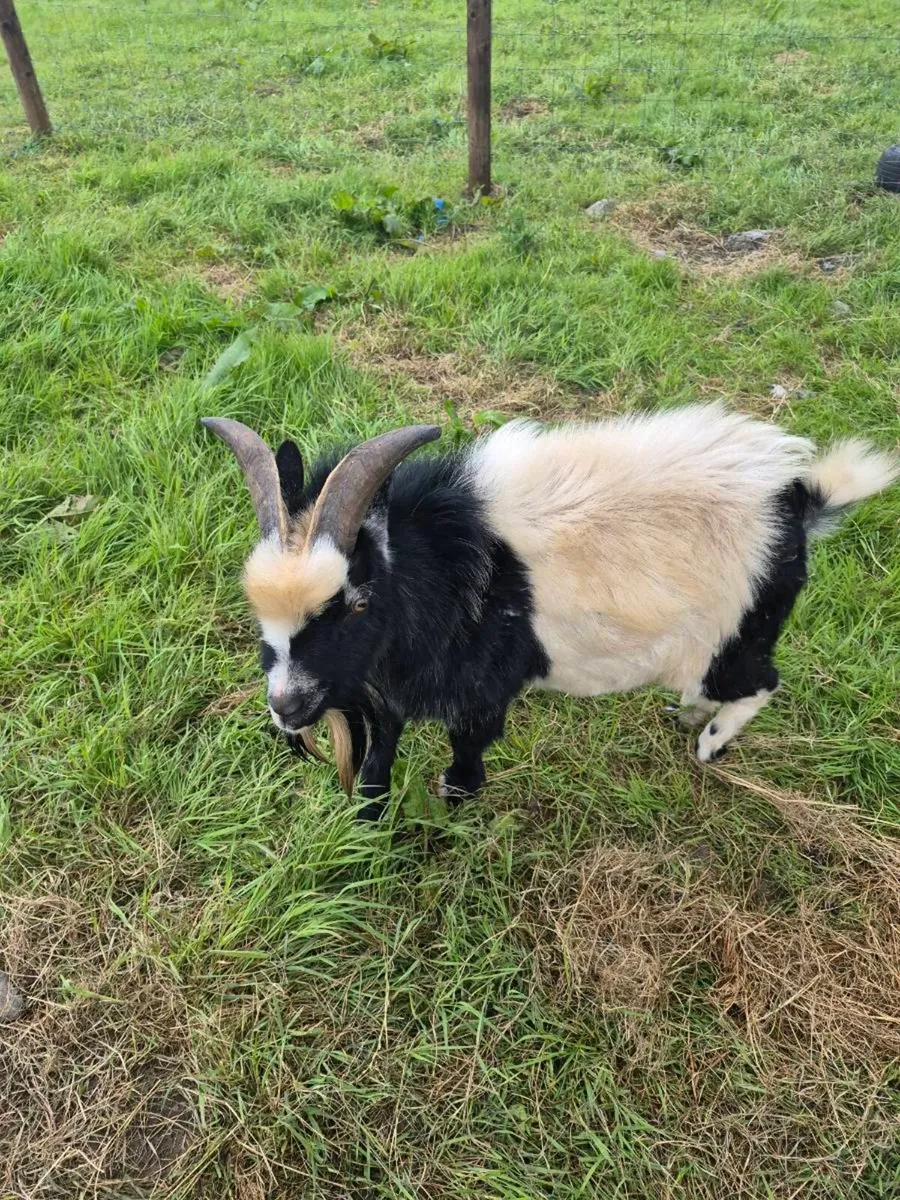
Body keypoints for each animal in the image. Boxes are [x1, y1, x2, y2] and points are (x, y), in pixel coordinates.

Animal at [201, 405, 897, 819]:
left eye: (356, 602)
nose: (286, 706)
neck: (442, 566)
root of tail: (800, 505)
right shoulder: (385, 687)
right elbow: (377, 765)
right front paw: (366, 824)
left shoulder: (478, 691)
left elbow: (465, 762)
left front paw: (450, 810)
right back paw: (690, 715)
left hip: (736, 635)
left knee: (761, 682)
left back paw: (708, 743)